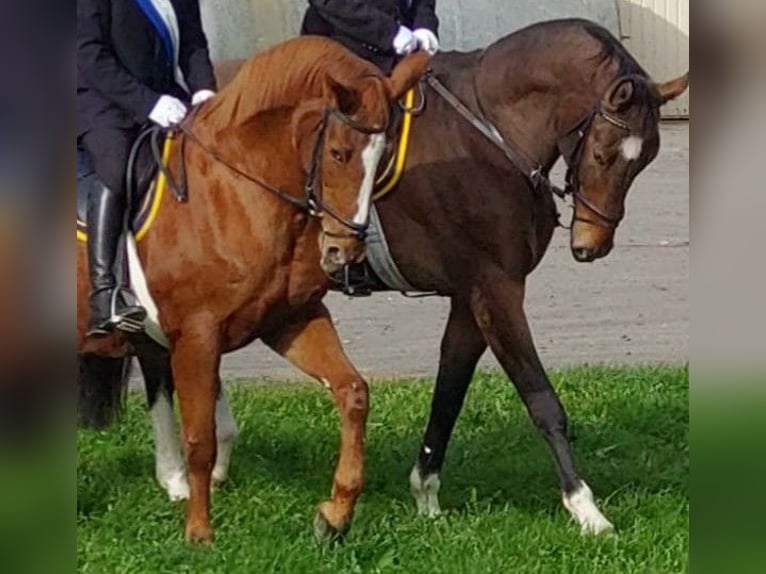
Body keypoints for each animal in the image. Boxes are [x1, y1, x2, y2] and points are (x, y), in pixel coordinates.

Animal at [76, 36, 430, 543]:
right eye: (338, 152)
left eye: (382, 157)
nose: (343, 253)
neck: (238, 188)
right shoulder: (197, 335)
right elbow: (201, 437)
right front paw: (200, 534)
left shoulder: (289, 319)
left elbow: (353, 392)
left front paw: (335, 515)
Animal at [155, 18, 687, 536]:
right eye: (602, 153)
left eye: (646, 159)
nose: (591, 244)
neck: (487, 135)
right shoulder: (496, 290)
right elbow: (540, 398)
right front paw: (586, 509)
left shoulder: (471, 295)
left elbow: (449, 390)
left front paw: (426, 493)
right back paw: (183, 474)